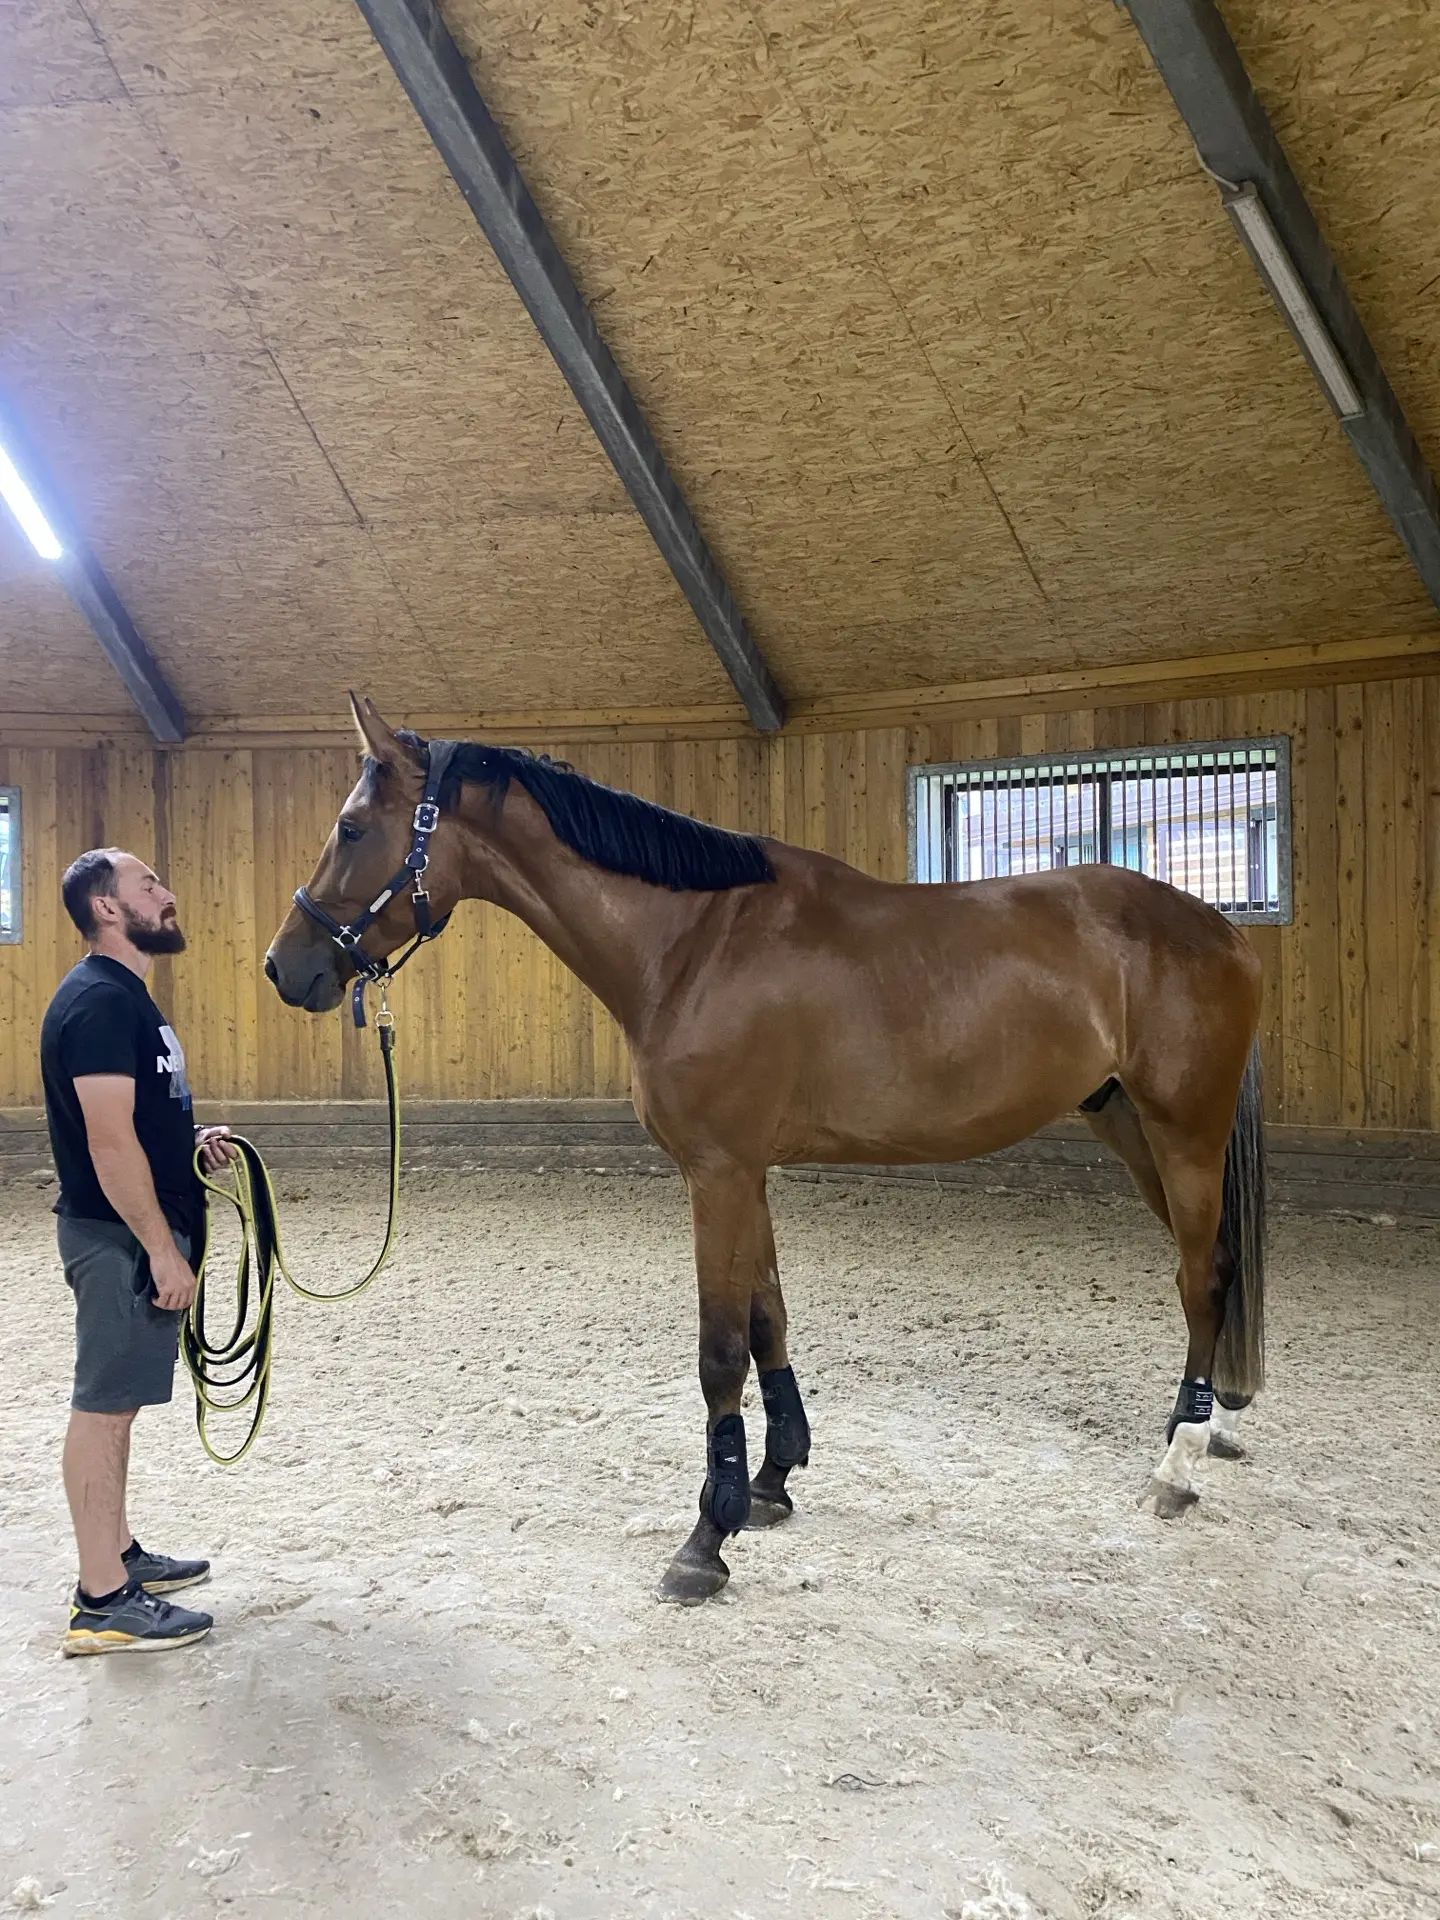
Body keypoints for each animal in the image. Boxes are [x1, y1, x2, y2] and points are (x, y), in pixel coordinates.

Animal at [265, 696, 1266, 1604]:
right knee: (1212, 1268)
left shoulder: (718, 1174)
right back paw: (1198, 1428)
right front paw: (772, 1480)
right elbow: (767, 1321)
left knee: (1200, 1278)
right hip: (1128, 1127)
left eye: (351, 827)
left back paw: (1178, 1464)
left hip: (1182, 1133)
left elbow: (719, 1351)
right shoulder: (747, 1175)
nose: (286, 966)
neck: (694, 944)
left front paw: (706, 1540)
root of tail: (1220, 929)